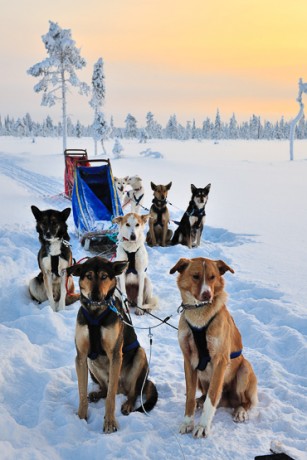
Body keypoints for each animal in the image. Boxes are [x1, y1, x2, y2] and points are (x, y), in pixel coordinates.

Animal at [67, 256, 159, 434]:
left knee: (131, 392)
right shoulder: (81, 356)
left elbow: (110, 399)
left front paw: (110, 422)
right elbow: (82, 393)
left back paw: (128, 404)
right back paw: (97, 394)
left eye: (104, 276)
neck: (96, 312)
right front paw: (81, 417)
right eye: (88, 276)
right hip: (91, 362)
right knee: (105, 388)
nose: (96, 296)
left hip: (140, 355)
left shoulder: (116, 355)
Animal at [171, 256, 258, 440]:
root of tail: (228, 400)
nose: (207, 294)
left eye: (212, 277)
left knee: (243, 401)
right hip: (201, 376)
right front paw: (188, 422)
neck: (199, 315)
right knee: (203, 395)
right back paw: (199, 401)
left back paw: (240, 411)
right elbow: (190, 396)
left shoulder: (220, 361)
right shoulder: (188, 360)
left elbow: (211, 399)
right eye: (196, 276)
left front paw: (203, 427)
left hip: (244, 369)